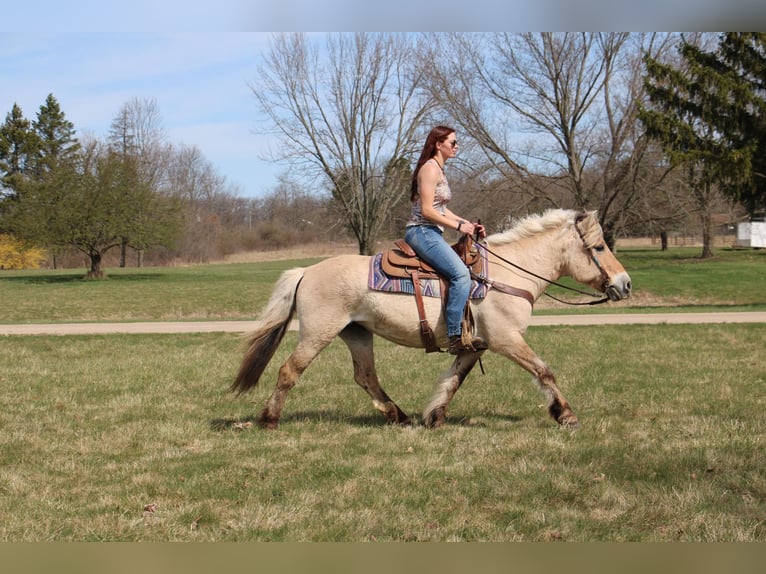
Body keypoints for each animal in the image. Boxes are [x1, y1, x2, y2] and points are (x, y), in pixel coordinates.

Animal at [231, 209, 632, 430]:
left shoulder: (475, 346)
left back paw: (398, 415)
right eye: (599, 247)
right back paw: (269, 419)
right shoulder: (506, 339)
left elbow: (453, 380)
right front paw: (566, 415)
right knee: (290, 370)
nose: (625, 283)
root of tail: (306, 271)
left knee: (366, 376)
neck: (507, 272)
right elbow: (544, 371)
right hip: (318, 333)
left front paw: (435, 416)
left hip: (357, 333)